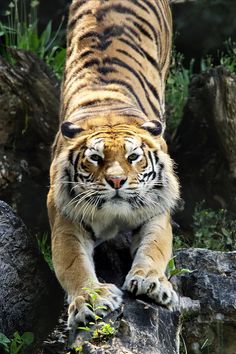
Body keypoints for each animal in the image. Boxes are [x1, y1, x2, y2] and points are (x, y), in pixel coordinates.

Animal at [47, 0, 179, 328]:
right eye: (95, 158)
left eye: (133, 157)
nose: (117, 181)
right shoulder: (66, 219)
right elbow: (71, 263)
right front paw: (91, 299)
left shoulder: (156, 210)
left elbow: (155, 247)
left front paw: (150, 282)